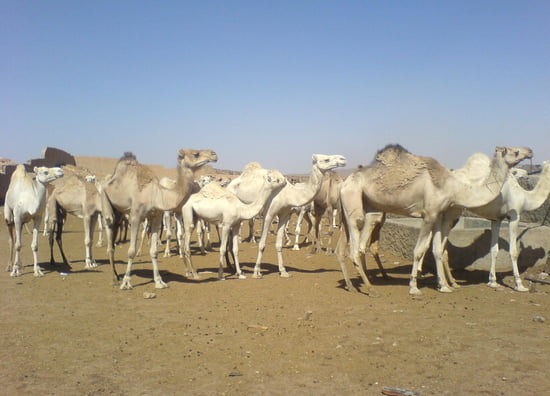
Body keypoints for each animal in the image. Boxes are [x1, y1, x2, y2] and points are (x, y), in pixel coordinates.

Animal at [103, 150, 218, 290]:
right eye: (196, 154)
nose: (214, 154)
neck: (156, 194)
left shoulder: (157, 216)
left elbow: (154, 251)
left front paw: (159, 281)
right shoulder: (136, 216)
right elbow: (131, 251)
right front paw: (126, 282)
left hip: (119, 213)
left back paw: (116, 275)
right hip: (106, 205)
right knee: (110, 239)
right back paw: (114, 278)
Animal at [336, 145, 536, 294]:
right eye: (514, 151)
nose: (530, 150)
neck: (454, 186)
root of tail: (344, 183)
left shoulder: (440, 215)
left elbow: (437, 250)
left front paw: (445, 286)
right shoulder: (429, 214)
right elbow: (419, 250)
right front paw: (414, 287)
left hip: (353, 207)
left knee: (345, 248)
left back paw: (353, 285)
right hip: (354, 202)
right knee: (355, 247)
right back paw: (370, 288)